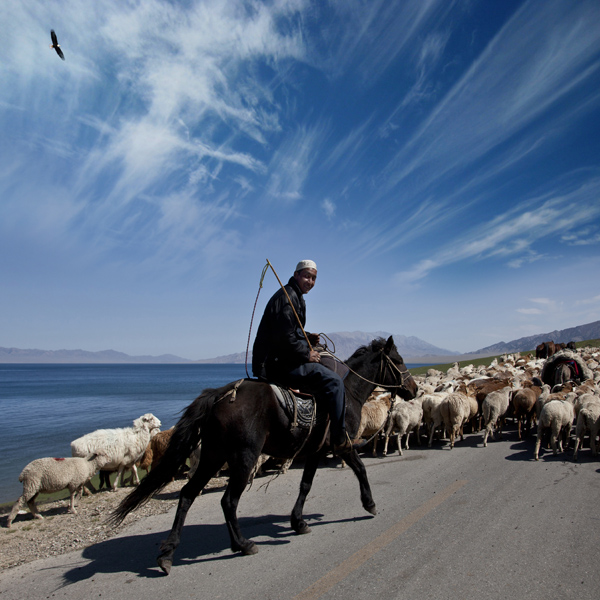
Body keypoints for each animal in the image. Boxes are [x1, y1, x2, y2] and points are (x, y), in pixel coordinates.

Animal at [109, 336, 418, 576]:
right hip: (243, 456)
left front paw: (298, 522)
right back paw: (242, 544)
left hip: (213, 455)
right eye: (399, 360)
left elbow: (305, 486)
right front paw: (370, 504)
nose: (413, 389)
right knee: (228, 500)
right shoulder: (342, 445)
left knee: (187, 494)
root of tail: (221, 394)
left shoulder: (316, 450)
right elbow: (360, 469)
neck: (349, 393)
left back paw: (167, 554)